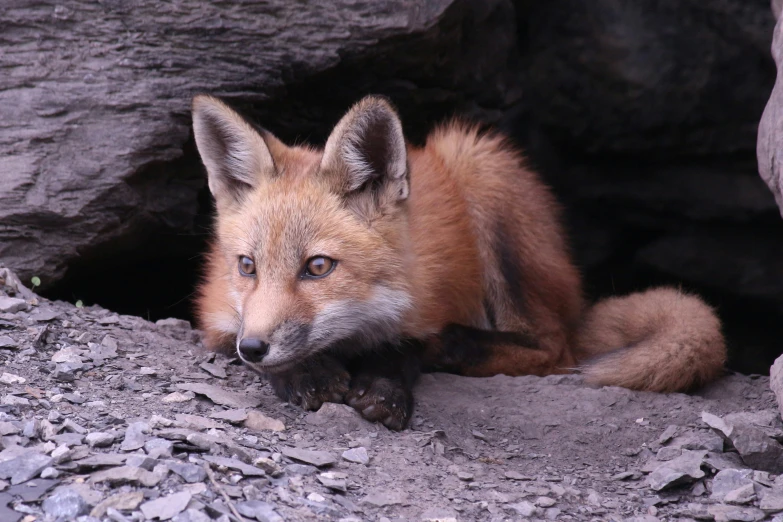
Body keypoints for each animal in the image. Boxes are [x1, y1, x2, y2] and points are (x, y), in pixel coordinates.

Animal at [190, 95, 728, 428]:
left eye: (318, 267)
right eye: (247, 266)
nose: (255, 347)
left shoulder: (423, 304)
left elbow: (404, 348)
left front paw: (384, 385)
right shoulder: (216, 309)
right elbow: (232, 341)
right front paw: (306, 373)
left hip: (480, 169)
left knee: (556, 348)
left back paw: (455, 348)